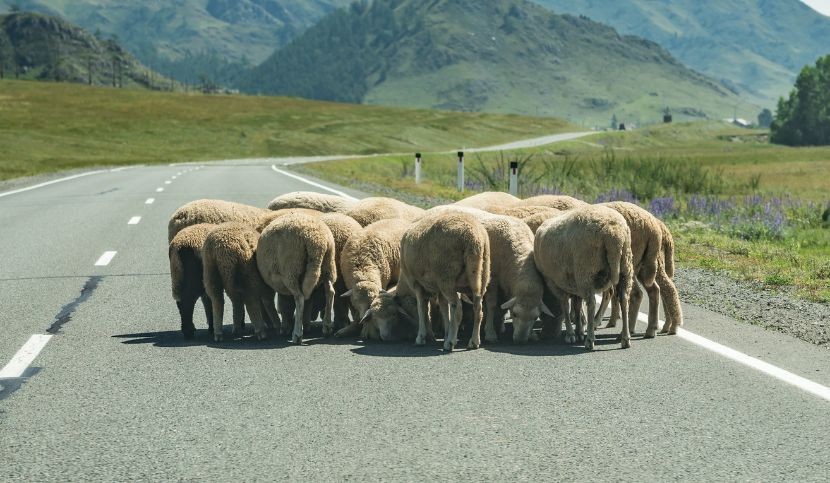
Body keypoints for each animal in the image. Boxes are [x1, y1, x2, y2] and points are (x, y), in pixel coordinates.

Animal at [257, 213, 337, 344]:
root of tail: (316, 241)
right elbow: (285, 303)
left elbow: (282, 304)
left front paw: (284, 327)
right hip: (328, 265)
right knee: (330, 292)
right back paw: (327, 326)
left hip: (291, 270)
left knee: (299, 298)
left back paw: (297, 334)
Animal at [401, 211, 490, 351]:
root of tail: (473, 238)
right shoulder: (439, 288)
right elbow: (444, 309)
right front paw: (446, 332)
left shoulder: (417, 284)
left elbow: (422, 308)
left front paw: (421, 336)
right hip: (482, 274)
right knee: (478, 308)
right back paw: (474, 341)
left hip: (446, 275)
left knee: (457, 309)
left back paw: (450, 342)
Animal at [534, 205, 634, 350]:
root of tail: (614, 233)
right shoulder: (573, 282)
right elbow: (576, 305)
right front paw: (579, 331)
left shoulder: (554, 282)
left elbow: (566, 305)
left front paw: (571, 334)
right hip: (625, 268)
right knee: (624, 300)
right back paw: (625, 338)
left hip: (586, 270)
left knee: (591, 303)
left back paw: (590, 339)